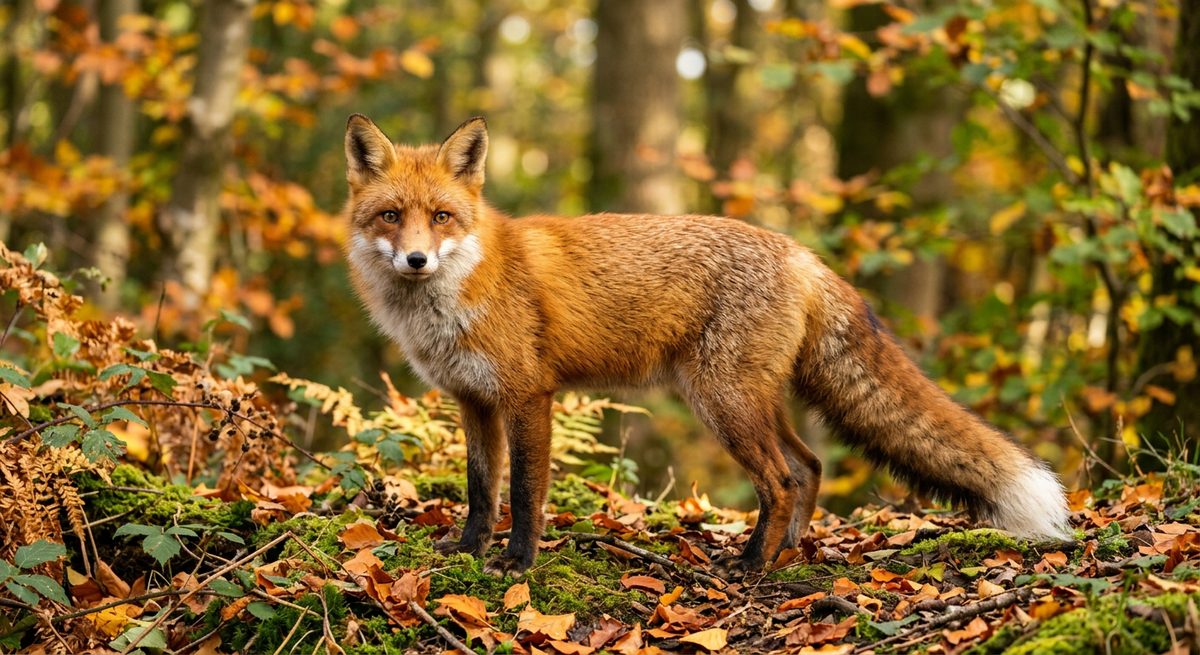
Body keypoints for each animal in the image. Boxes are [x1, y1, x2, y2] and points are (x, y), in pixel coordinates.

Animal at [342, 114, 1072, 575]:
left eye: (442, 217)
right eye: (390, 216)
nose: (414, 260)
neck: (458, 294)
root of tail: (799, 251)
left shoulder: (528, 395)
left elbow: (523, 492)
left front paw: (517, 562)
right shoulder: (472, 399)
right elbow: (479, 489)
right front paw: (467, 550)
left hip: (721, 401)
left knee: (781, 479)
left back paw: (749, 564)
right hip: (751, 400)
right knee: (810, 466)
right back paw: (784, 554)